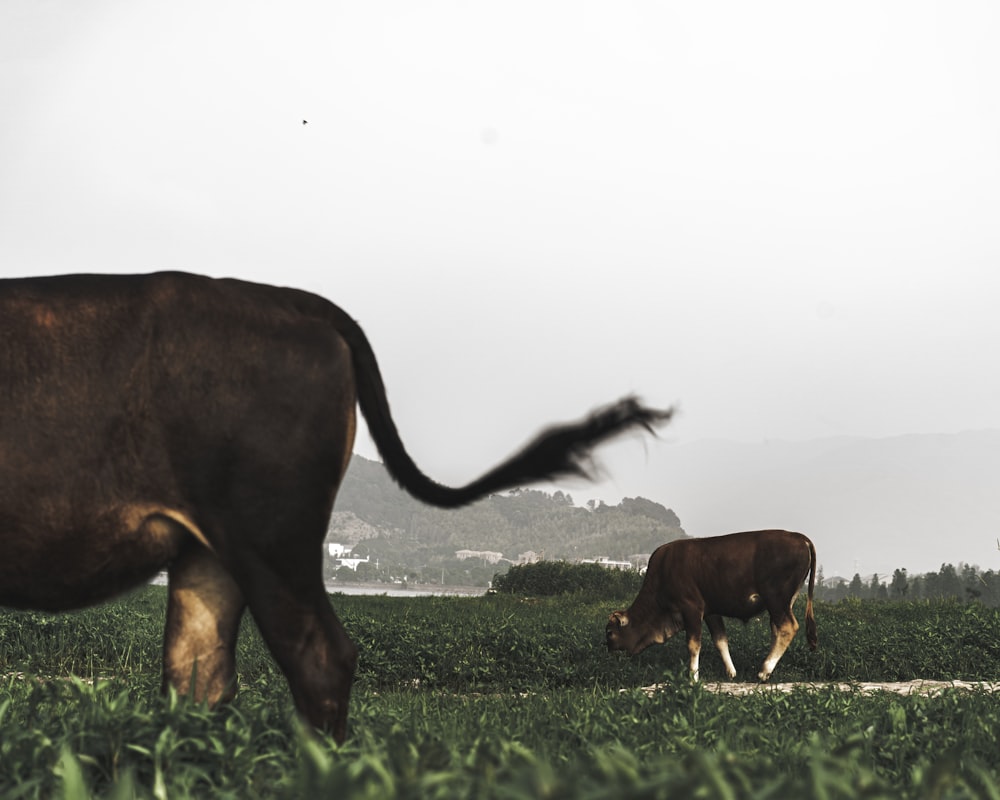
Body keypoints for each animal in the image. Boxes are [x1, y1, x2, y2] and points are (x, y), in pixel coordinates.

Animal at [604, 532, 816, 680]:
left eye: (610, 633)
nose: (609, 652)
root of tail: (800, 537)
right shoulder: (710, 612)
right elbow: (720, 640)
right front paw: (731, 672)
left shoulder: (691, 608)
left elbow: (693, 645)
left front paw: (693, 677)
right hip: (784, 603)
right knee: (777, 630)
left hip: (776, 600)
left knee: (788, 628)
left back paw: (764, 671)